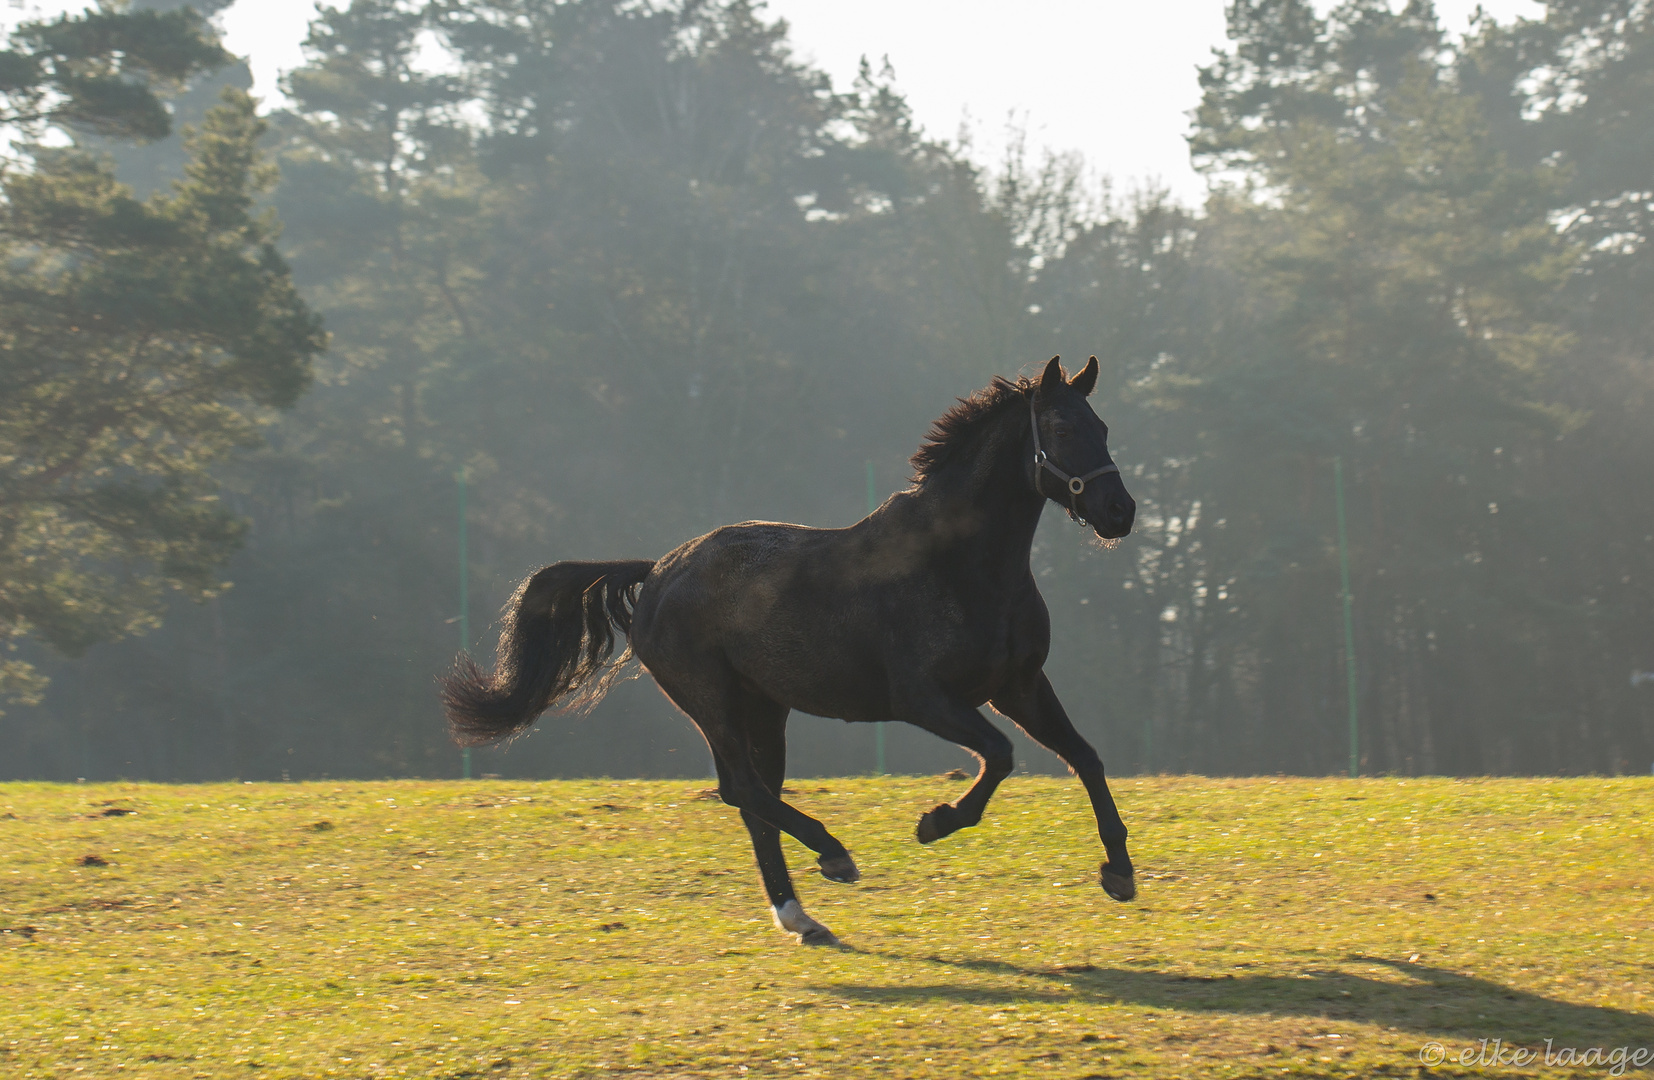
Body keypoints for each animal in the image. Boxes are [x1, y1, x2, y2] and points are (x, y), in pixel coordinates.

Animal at [439, 355, 1137, 946]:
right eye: (1060, 426)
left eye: (1103, 426)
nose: (1119, 510)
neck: (962, 566)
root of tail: (660, 570)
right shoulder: (924, 698)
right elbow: (999, 754)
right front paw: (934, 822)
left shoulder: (1019, 685)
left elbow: (1086, 757)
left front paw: (1120, 871)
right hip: (713, 701)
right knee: (741, 789)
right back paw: (833, 855)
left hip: (764, 708)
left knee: (753, 799)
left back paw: (801, 915)